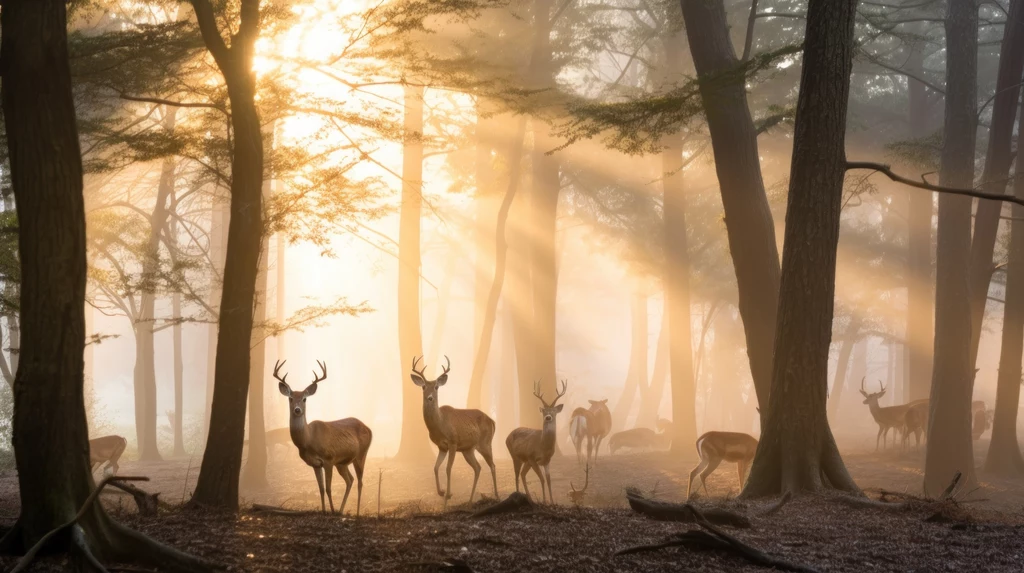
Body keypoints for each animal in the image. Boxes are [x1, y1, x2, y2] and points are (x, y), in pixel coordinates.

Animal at [276, 358, 372, 515]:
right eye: (290, 398)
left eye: (304, 399)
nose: (297, 410)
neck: (308, 440)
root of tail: (369, 428)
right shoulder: (316, 463)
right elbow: (320, 489)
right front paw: (324, 511)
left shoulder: (329, 459)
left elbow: (328, 488)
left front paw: (331, 511)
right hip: (342, 463)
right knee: (350, 480)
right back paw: (341, 510)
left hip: (361, 454)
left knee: (360, 482)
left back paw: (356, 513)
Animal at [411, 356, 499, 507]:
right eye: (423, 386)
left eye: (436, 387)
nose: (430, 397)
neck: (439, 425)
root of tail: (492, 421)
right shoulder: (442, 447)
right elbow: (435, 467)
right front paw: (442, 492)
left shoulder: (453, 442)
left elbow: (448, 468)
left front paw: (448, 496)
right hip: (468, 449)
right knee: (478, 467)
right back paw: (470, 501)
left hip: (485, 443)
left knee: (492, 465)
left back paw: (497, 497)